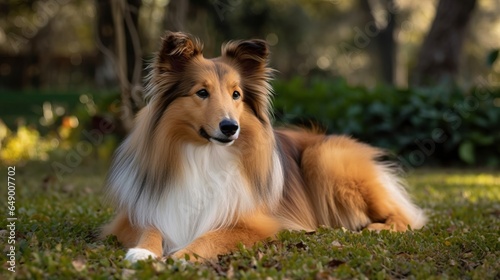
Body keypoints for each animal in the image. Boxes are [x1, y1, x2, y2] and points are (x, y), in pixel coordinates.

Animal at [101, 31, 426, 262]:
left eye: (236, 94)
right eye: (202, 92)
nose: (230, 127)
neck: (206, 155)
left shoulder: (255, 223)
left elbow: (211, 236)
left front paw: (179, 256)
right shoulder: (138, 214)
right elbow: (150, 228)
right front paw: (144, 252)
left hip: (325, 158)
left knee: (406, 216)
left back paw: (376, 228)